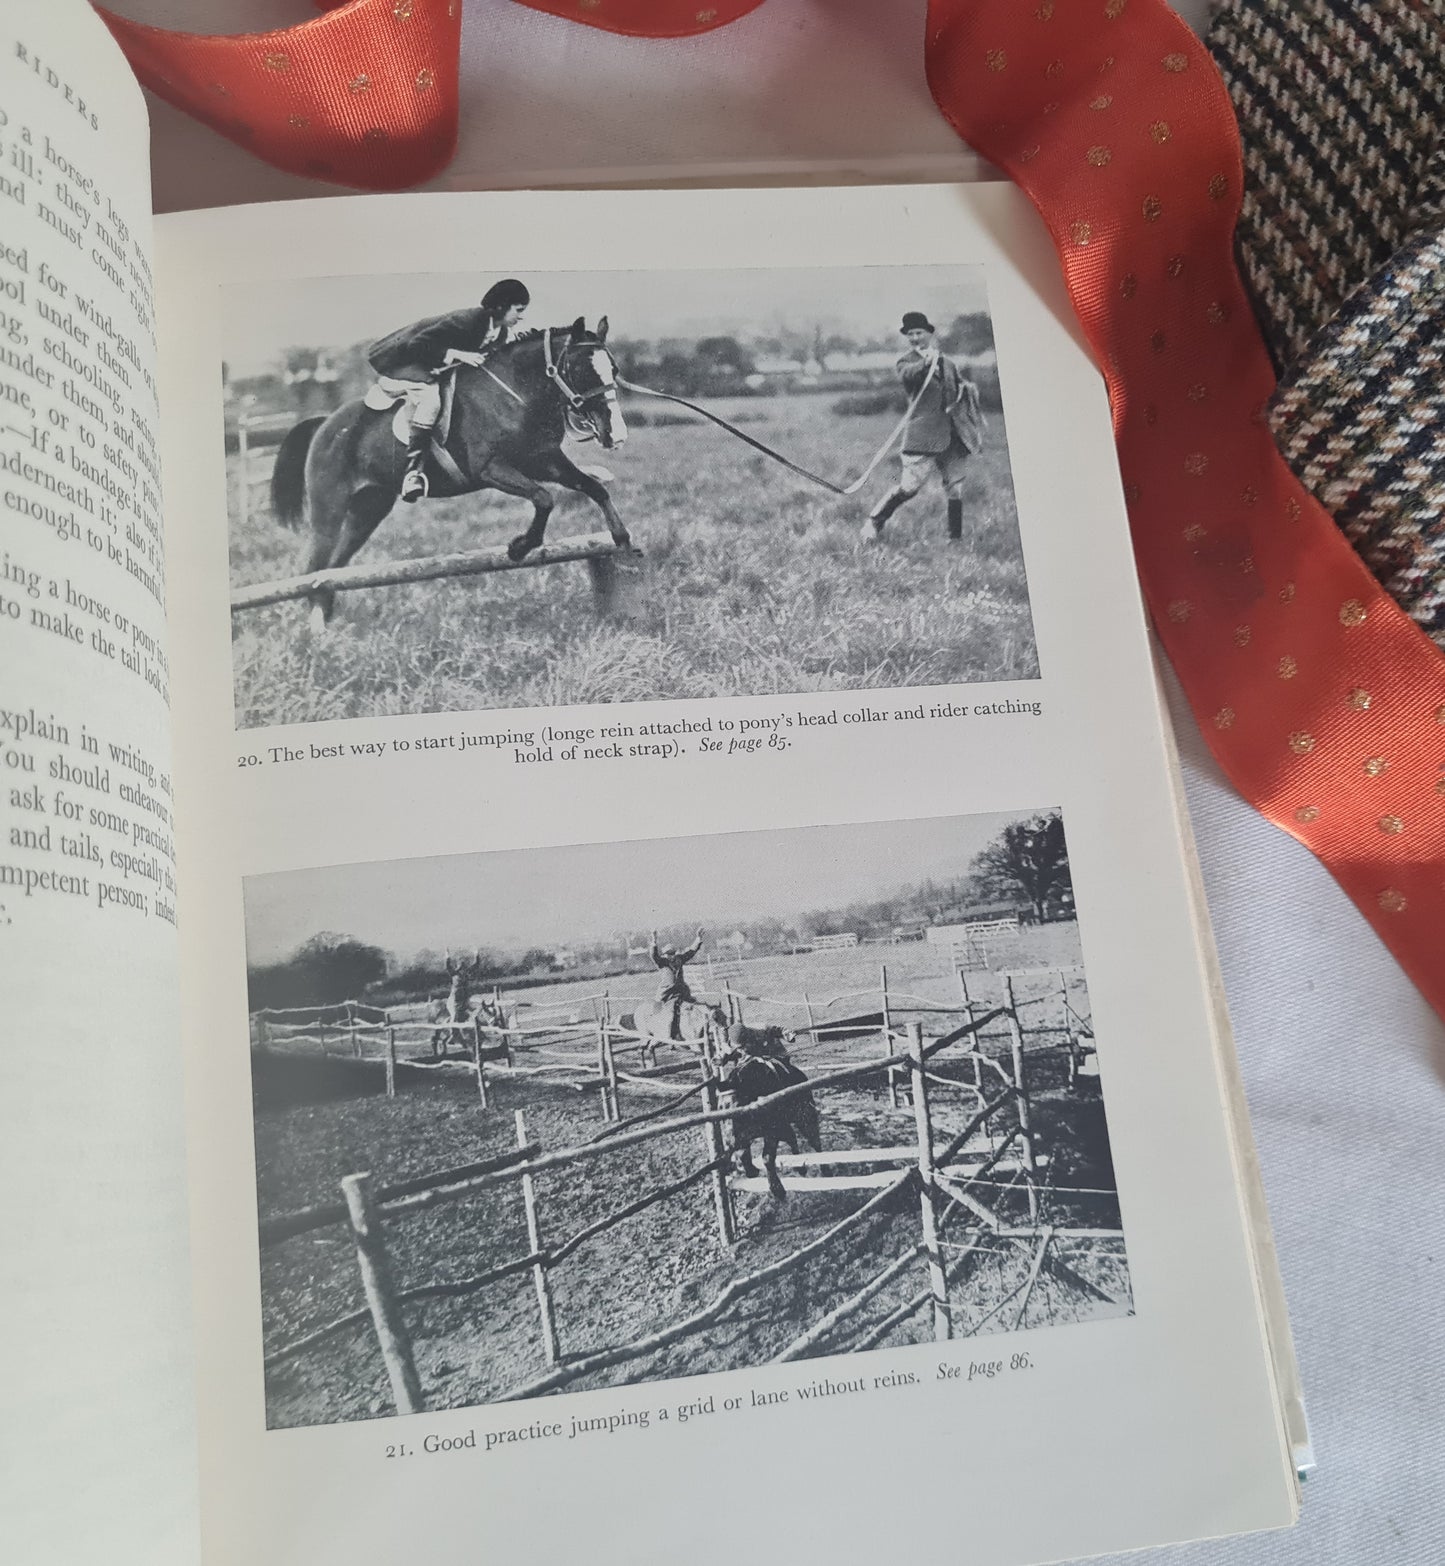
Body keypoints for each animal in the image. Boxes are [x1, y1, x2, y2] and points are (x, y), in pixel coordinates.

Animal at [270, 321, 632, 626]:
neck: (516, 393)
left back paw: (330, 623)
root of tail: (324, 424)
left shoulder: (544, 460)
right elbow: (544, 497)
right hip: (328, 511)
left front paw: (622, 538)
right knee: (315, 567)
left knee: (335, 566)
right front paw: (520, 547)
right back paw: (318, 631)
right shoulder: (491, 469)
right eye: (581, 369)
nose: (616, 435)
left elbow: (593, 488)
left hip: (368, 509)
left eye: (614, 369)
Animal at [717, 1027, 820, 1196]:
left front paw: (777, 1188)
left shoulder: (772, 1131)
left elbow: (766, 1157)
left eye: (738, 1105)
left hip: (805, 1117)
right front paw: (751, 1170)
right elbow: (743, 1154)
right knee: (792, 1139)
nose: (729, 1142)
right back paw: (800, 1167)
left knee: (814, 1141)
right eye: (721, 1108)